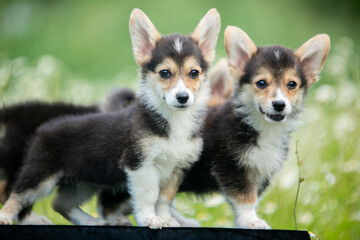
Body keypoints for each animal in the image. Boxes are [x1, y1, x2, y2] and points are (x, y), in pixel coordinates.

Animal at [0, 7, 219, 229]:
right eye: (165, 73)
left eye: (194, 73)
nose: (182, 97)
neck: (174, 120)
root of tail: (44, 128)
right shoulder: (139, 165)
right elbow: (149, 196)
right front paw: (150, 219)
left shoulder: (176, 169)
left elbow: (164, 199)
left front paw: (167, 220)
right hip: (40, 176)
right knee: (16, 195)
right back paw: (6, 217)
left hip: (84, 182)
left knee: (60, 203)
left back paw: (90, 221)